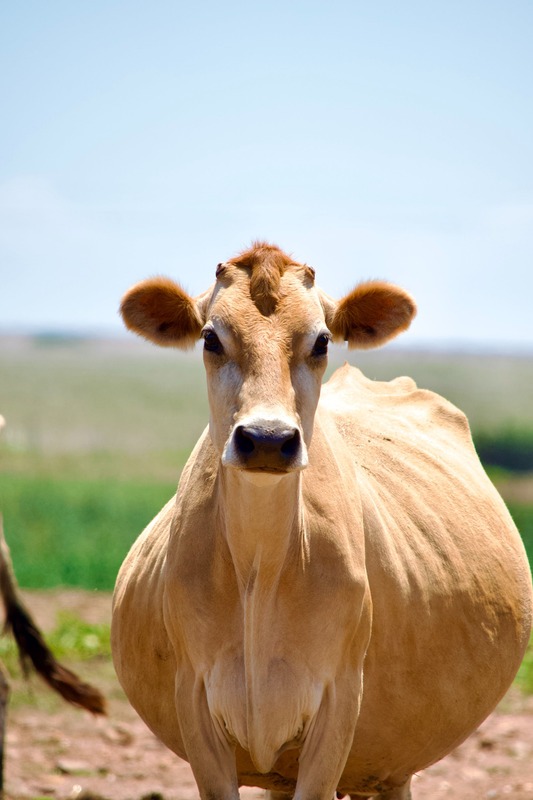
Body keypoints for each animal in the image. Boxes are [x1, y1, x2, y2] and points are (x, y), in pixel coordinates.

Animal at [111, 242, 533, 800]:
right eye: (210, 337)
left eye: (322, 340)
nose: (268, 439)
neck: (259, 569)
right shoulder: (195, 702)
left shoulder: (338, 702)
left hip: (394, 762)